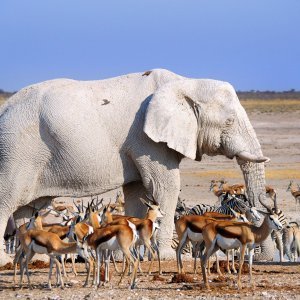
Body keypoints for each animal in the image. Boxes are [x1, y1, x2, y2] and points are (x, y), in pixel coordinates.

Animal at [0, 69, 270, 264]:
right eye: (229, 121)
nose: (263, 257)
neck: (185, 83)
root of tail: (5, 108)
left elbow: (137, 192)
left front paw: (123, 256)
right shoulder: (147, 140)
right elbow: (165, 186)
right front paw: (167, 257)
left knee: (29, 208)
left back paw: (40, 259)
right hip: (17, 150)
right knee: (8, 199)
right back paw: (6, 261)